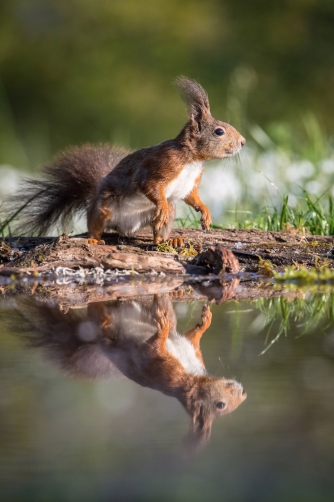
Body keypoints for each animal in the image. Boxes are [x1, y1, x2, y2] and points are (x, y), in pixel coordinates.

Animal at [2, 76, 245, 245]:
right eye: (219, 131)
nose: (243, 142)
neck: (194, 161)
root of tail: (125, 227)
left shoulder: (190, 184)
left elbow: (192, 197)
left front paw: (205, 212)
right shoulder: (160, 165)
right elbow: (149, 186)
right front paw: (162, 204)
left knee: (159, 232)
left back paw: (169, 240)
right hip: (103, 206)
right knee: (96, 225)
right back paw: (93, 238)